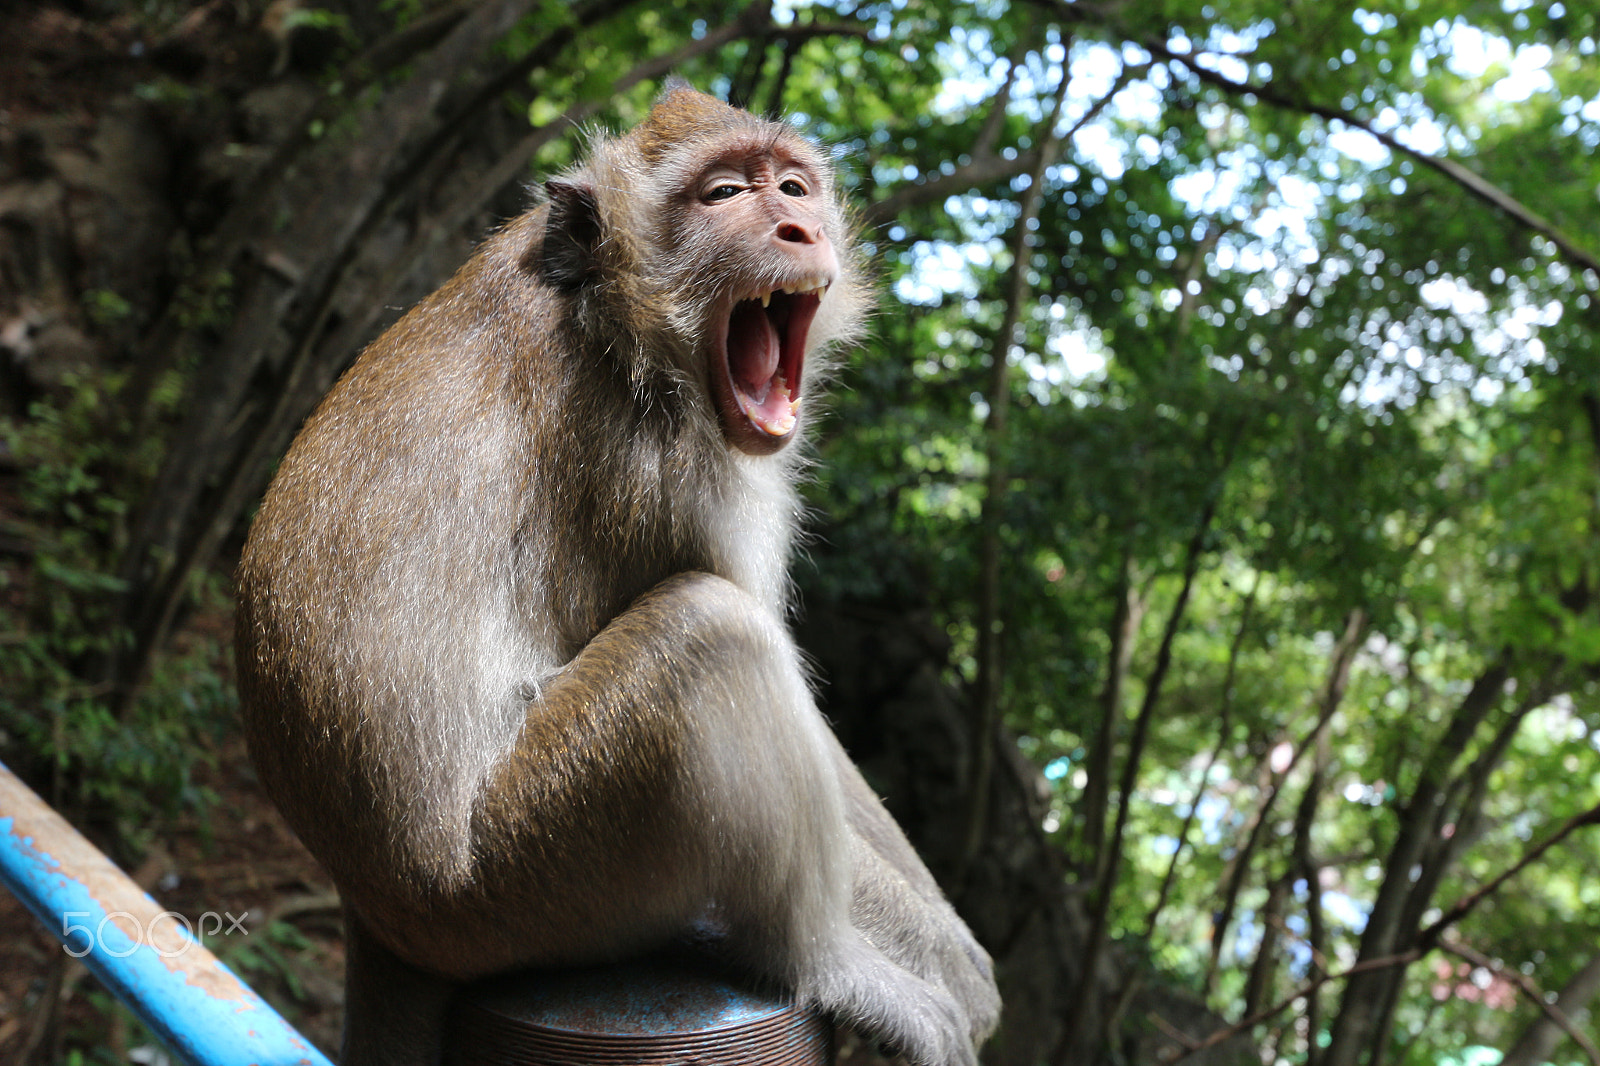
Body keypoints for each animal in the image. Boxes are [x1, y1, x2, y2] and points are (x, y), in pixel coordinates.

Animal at [235, 82, 1000, 1066]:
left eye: (793, 186)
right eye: (724, 195)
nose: (798, 226)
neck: (611, 321)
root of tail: (374, 910)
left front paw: (958, 937)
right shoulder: (662, 472)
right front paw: (955, 966)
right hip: (527, 879)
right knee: (710, 634)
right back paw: (825, 962)